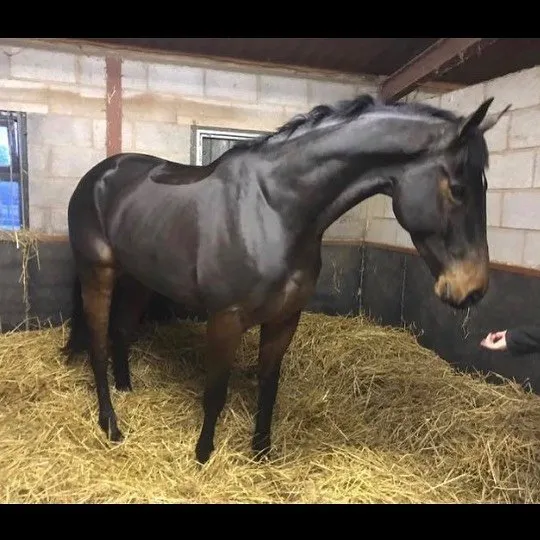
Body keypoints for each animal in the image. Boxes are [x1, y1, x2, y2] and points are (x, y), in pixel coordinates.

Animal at [62, 94, 506, 464]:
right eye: (458, 188)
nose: (472, 289)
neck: (274, 209)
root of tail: (98, 177)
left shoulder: (284, 319)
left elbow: (268, 385)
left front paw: (261, 453)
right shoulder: (225, 319)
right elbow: (215, 392)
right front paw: (203, 456)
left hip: (138, 279)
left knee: (120, 332)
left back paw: (127, 389)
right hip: (98, 273)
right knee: (98, 343)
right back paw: (111, 424)